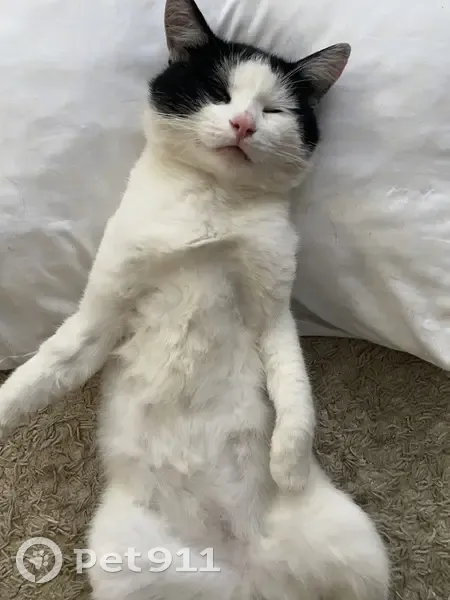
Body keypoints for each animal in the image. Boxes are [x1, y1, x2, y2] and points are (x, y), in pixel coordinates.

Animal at [0, 0, 389, 598]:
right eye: (218, 92)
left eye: (275, 109)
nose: (244, 124)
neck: (213, 202)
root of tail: (246, 577)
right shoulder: (102, 310)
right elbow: (49, 368)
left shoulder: (273, 312)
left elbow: (294, 388)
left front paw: (289, 463)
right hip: (123, 561)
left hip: (357, 547)